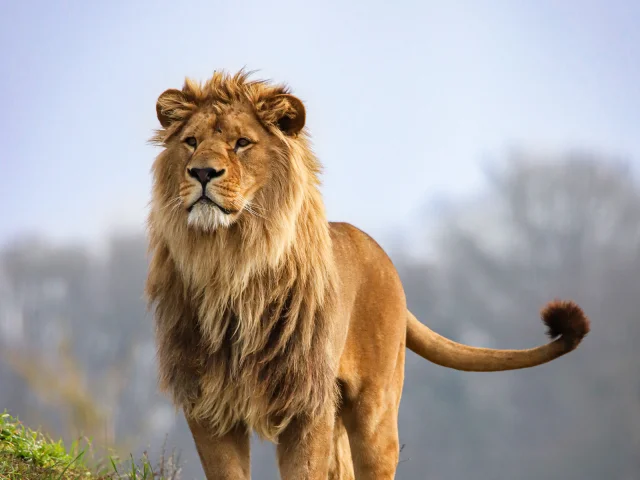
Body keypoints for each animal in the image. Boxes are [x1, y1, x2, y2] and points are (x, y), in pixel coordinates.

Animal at [145, 70, 590, 479]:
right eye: (191, 142)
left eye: (241, 143)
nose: (202, 172)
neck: (231, 263)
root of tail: (383, 257)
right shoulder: (207, 403)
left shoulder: (306, 405)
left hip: (375, 411)